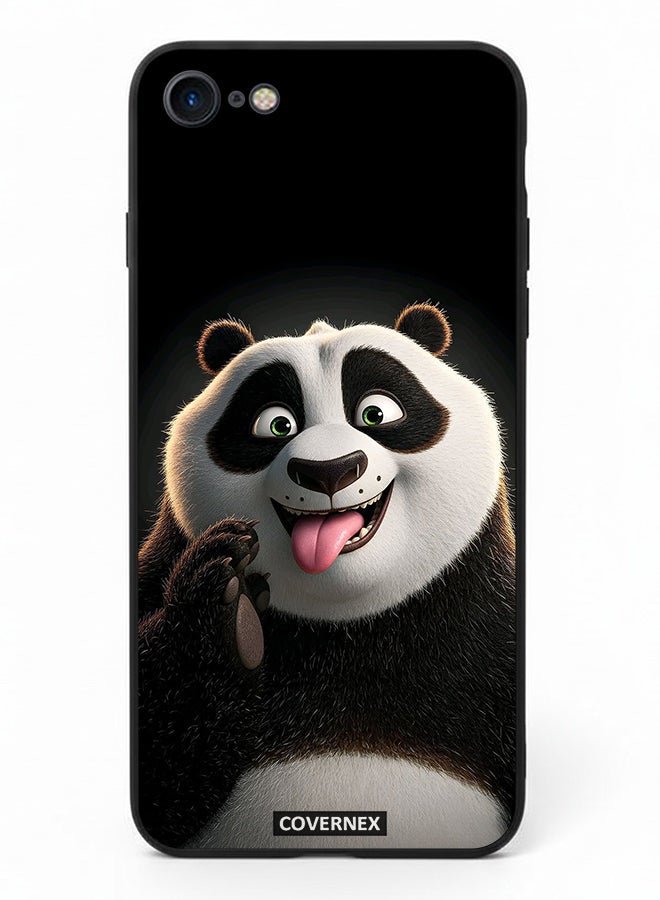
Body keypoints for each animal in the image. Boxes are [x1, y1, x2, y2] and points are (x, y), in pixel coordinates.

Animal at [137, 302, 517, 852]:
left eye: (376, 414)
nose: (329, 471)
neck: (348, 627)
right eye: (276, 424)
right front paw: (230, 611)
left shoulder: (493, 631)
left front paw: (231, 612)